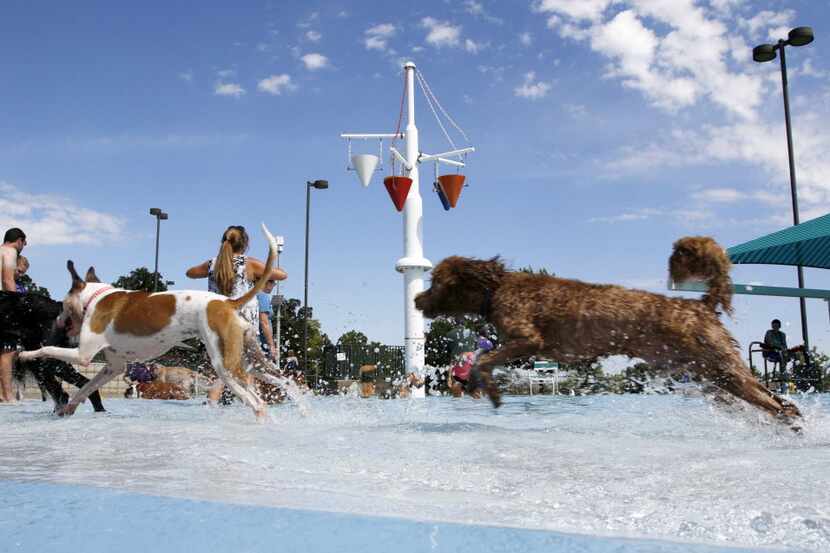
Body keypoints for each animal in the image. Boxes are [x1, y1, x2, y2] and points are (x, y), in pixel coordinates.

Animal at [19, 222, 296, 420]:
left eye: (63, 304)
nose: (57, 318)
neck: (96, 297)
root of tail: (227, 302)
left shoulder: (83, 355)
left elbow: (47, 349)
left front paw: (26, 354)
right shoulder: (113, 368)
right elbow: (85, 389)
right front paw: (68, 408)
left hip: (225, 365)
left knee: (258, 403)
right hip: (251, 359)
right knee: (283, 382)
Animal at [420, 236, 804, 422]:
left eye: (436, 282)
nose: (416, 299)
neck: (496, 287)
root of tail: (700, 304)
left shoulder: (528, 338)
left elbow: (484, 360)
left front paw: (492, 391)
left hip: (723, 369)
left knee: (779, 405)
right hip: (709, 377)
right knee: (775, 401)